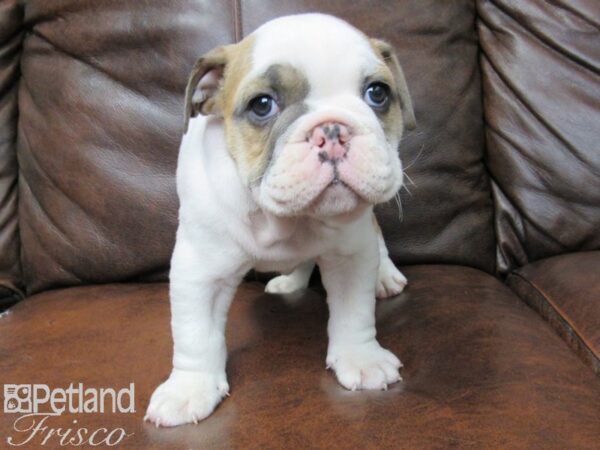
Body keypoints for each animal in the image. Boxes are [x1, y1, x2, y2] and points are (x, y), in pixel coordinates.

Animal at [146, 11, 418, 426]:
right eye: (262, 105)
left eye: (378, 94)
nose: (332, 129)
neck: (284, 217)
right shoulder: (200, 270)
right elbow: (195, 333)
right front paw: (189, 389)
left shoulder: (351, 256)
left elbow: (354, 313)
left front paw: (361, 359)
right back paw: (291, 281)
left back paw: (384, 275)